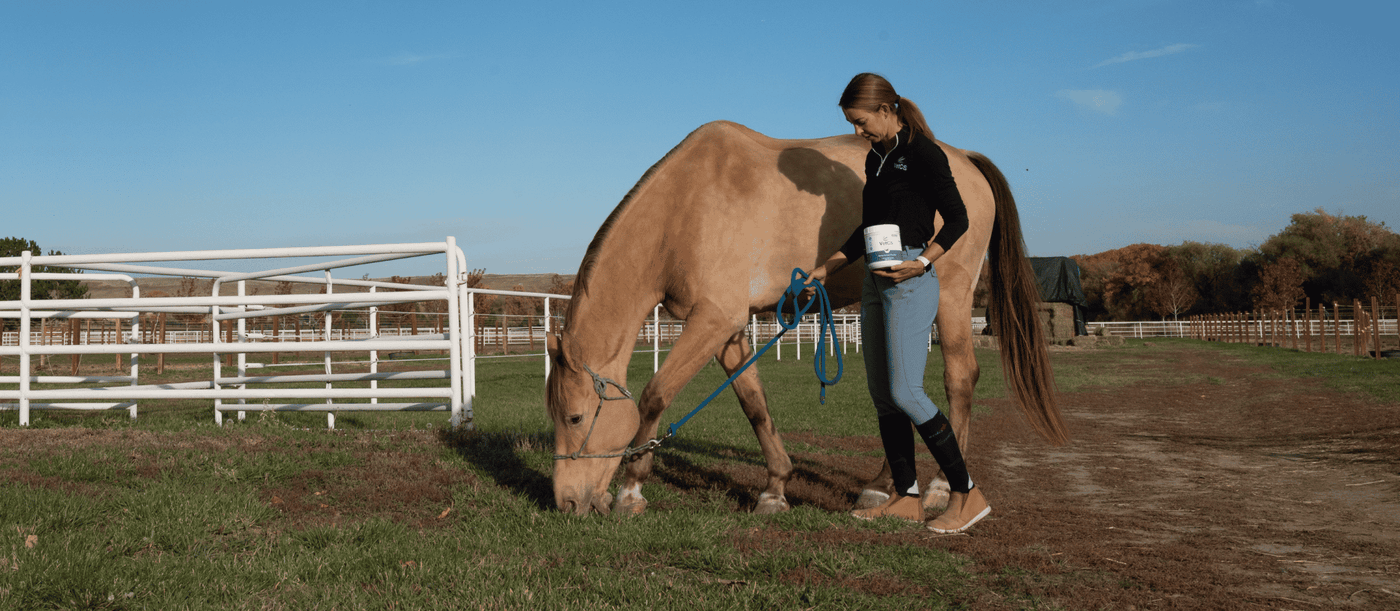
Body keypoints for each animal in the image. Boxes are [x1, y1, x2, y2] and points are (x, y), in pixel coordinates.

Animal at [545, 121, 1068, 516]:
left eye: (575, 417)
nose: (567, 502)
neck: (687, 207)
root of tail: (965, 160)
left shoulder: (713, 319)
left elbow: (655, 395)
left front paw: (630, 491)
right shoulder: (727, 329)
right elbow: (753, 403)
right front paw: (775, 489)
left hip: (951, 299)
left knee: (959, 379)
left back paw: (941, 488)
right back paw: (884, 485)